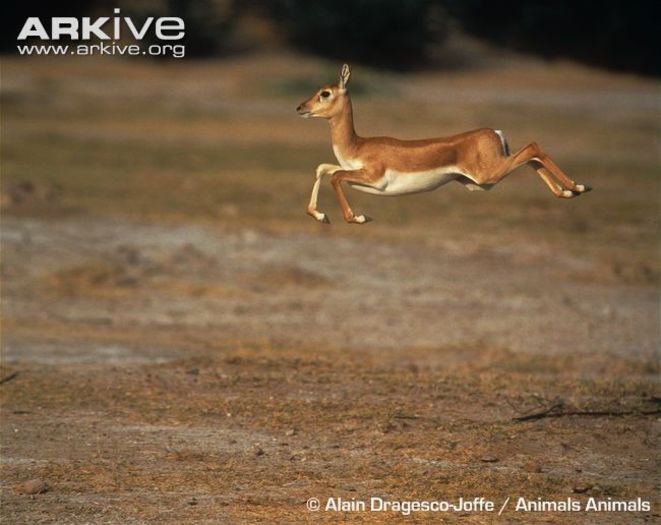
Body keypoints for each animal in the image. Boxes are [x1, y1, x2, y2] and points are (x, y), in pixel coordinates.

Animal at [296, 63, 592, 223]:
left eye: (325, 93)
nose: (300, 108)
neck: (356, 146)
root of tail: (494, 132)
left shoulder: (372, 177)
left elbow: (335, 177)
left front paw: (358, 217)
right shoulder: (350, 171)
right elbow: (323, 169)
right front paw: (321, 216)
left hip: (487, 175)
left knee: (532, 146)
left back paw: (579, 186)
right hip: (485, 179)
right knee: (531, 157)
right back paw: (568, 192)